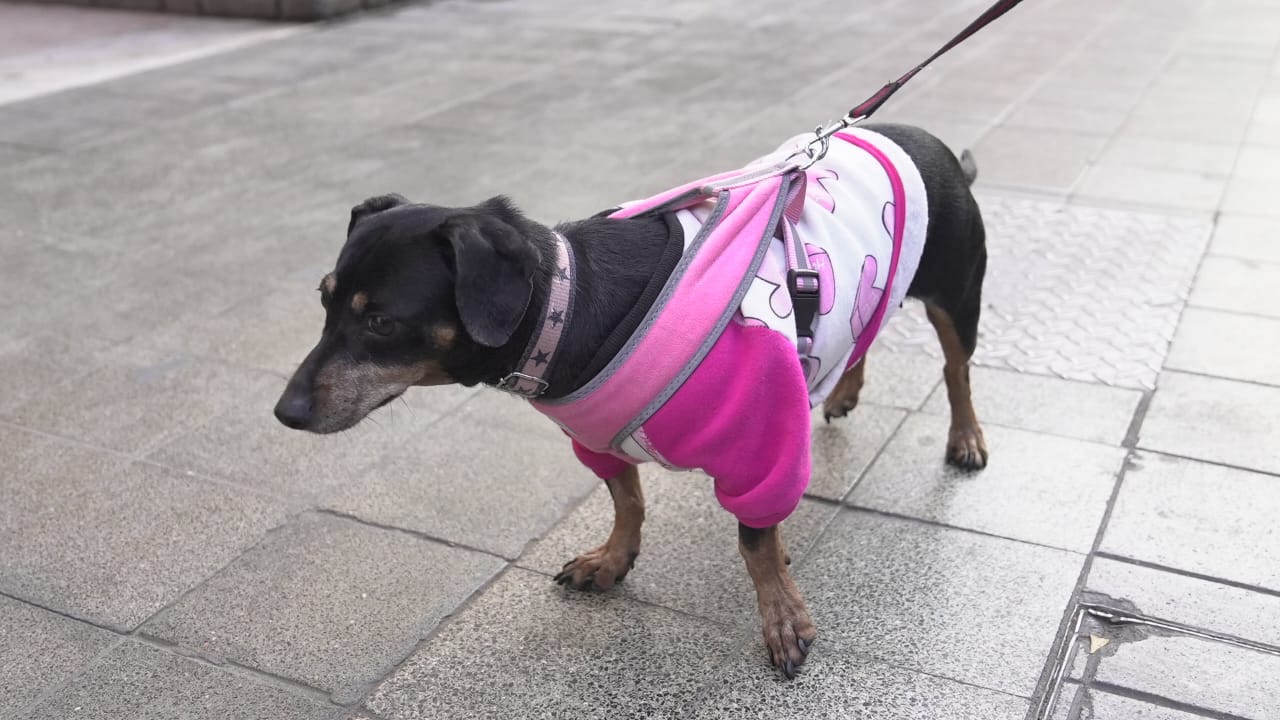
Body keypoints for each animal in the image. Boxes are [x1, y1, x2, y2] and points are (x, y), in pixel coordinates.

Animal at [272, 120, 988, 676]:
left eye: (381, 321)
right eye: (323, 299)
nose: (286, 412)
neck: (573, 306)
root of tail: (924, 139)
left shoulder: (763, 443)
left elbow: (756, 541)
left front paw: (783, 615)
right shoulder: (597, 436)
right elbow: (628, 499)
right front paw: (612, 561)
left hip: (957, 295)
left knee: (956, 370)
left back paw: (965, 438)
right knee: (864, 335)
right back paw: (842, 389)